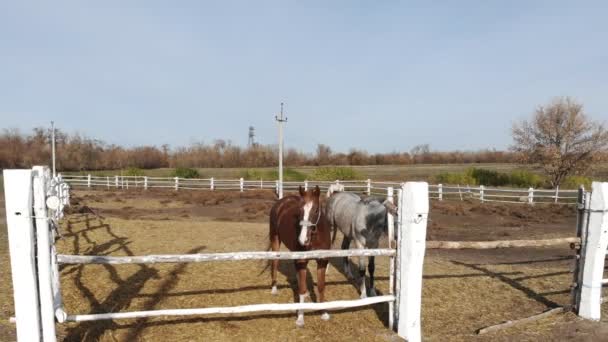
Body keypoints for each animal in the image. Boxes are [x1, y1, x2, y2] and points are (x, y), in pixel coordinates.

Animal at [268, 186, 330, 328]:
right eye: (300, 211)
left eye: (316, 209)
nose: (303, 240)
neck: (316, 238)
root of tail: (281, 202)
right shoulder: (302, 260)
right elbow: (302, 289)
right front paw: (300, 319)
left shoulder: (322, 261)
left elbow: (321, 286)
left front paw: (324, 312)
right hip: (275, 240)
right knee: (275, 262)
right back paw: (274, 289)